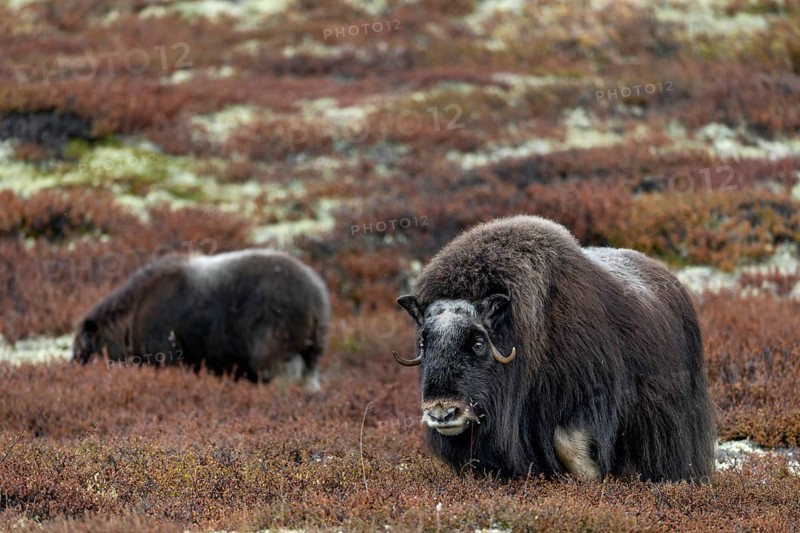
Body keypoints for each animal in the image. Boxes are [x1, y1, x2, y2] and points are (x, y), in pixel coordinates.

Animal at [73, 249, 330, 391]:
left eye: (82, 350)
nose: (75, 371)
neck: (133, 314)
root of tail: (315, 295)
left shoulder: (165, 354)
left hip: (274, 343)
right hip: (310, 353)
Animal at [393, 215, 715, 481]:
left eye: (477, 342)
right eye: (424, 341)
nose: (442, 413)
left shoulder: (587, 395)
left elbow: (568, 443)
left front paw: (589, 480)